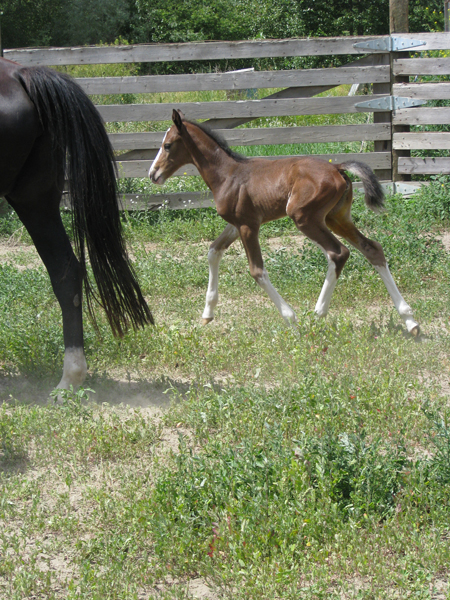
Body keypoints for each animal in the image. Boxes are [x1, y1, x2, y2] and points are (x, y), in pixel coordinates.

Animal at [149, 106, 420, 332]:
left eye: (168, 145)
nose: (153, 174)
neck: (227, 175)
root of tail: (338, 168)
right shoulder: (235, 225)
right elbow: (213, 251)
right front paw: (207, 313)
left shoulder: (248, 226)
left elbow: (257, 271)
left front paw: (290, 317)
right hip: (336, 217)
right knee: (372, 248)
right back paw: (410, 320)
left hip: (304, 217)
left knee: (338, 253)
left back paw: (318, 313)